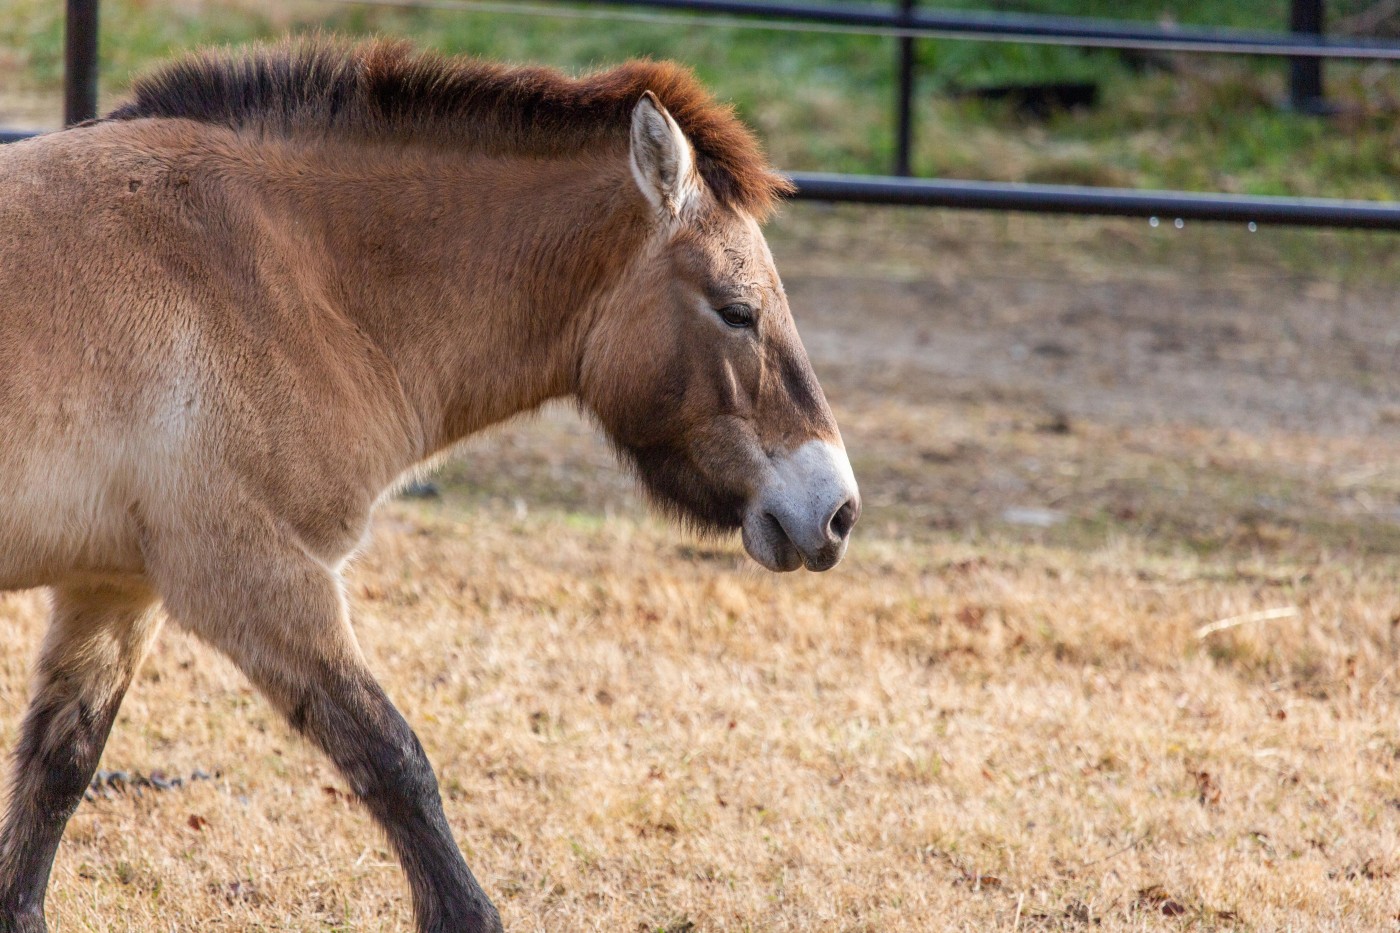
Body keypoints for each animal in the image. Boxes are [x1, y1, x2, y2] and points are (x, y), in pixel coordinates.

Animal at [0, 38, 851, 930]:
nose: (836, 511)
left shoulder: (115, 586)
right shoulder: (255, 576)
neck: (280, 279)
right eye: (736, 310)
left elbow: (58, 769)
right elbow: (393, 759)